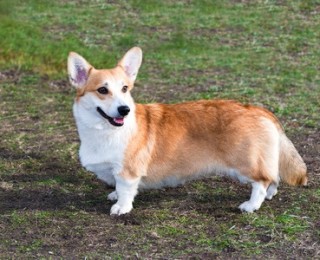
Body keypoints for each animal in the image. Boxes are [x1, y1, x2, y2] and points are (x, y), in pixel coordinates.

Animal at [67, 46, 308, 215]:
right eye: (102, 90)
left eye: (125, 88)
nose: (124, 110)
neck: (103, 131)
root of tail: (260, 110)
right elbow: (117, 187)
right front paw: (113, 195)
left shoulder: (128, 172)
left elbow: (126, 190)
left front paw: (121, 207)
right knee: (274, 178)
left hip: (246, 163)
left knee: (262, 181)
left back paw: (250, 205)